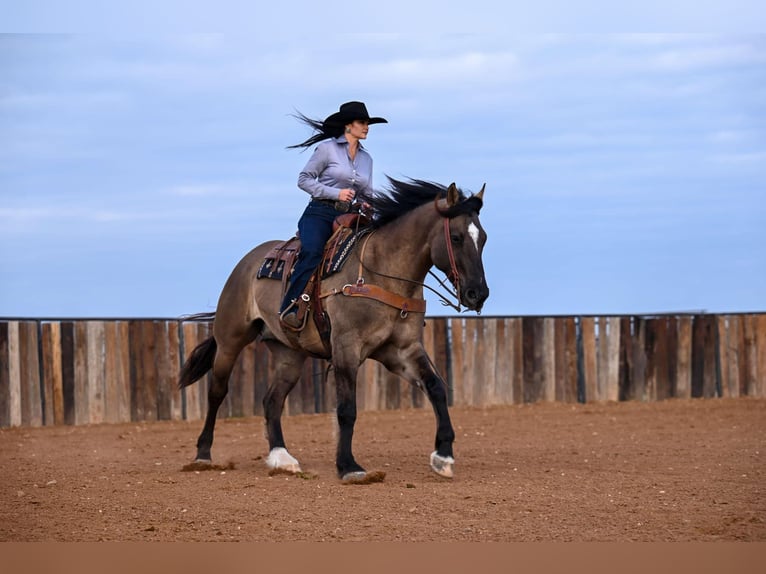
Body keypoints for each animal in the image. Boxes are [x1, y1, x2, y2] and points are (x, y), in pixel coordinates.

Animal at [178, 178, 492, 484]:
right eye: (456, 237)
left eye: (484, 239)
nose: (478, 294)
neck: (381, 271)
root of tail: (247, 263)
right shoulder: (346, 348)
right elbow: (347, 409)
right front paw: (349, 466)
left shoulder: (403, 351)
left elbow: (436, 387)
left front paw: (443, 456)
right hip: (229, 341)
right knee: (217, 392)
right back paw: (203, 455)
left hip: (290, 356)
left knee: (272, 401)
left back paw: (282, 458)